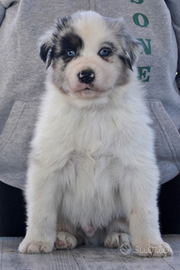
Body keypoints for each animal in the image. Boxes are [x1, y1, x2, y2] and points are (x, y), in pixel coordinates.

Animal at [19, 10, 172, 255]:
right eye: (70, 53)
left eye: (105, 52)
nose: (86, 75)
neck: (92, 111)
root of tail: (92, 232)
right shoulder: (48, 167)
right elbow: (42, 211)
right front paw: (36, 241)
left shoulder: (136, 167)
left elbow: (144, 211)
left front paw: (151, 244)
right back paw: (63, 237)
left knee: (119, 224)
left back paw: (118, 237)